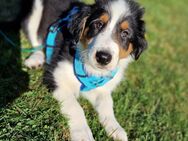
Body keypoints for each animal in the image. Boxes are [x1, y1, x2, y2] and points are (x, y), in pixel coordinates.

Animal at [24, 0, 147, 140]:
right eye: (98, 24)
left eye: (125, 33)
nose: (103, 57)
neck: (92, 70)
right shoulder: (56, 77)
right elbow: (75, 107)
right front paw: (82, 133)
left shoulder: (102, 88)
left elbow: (107, 104)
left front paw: (116, 128)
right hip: (35, 12)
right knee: (36, 43)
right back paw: (35, 59)